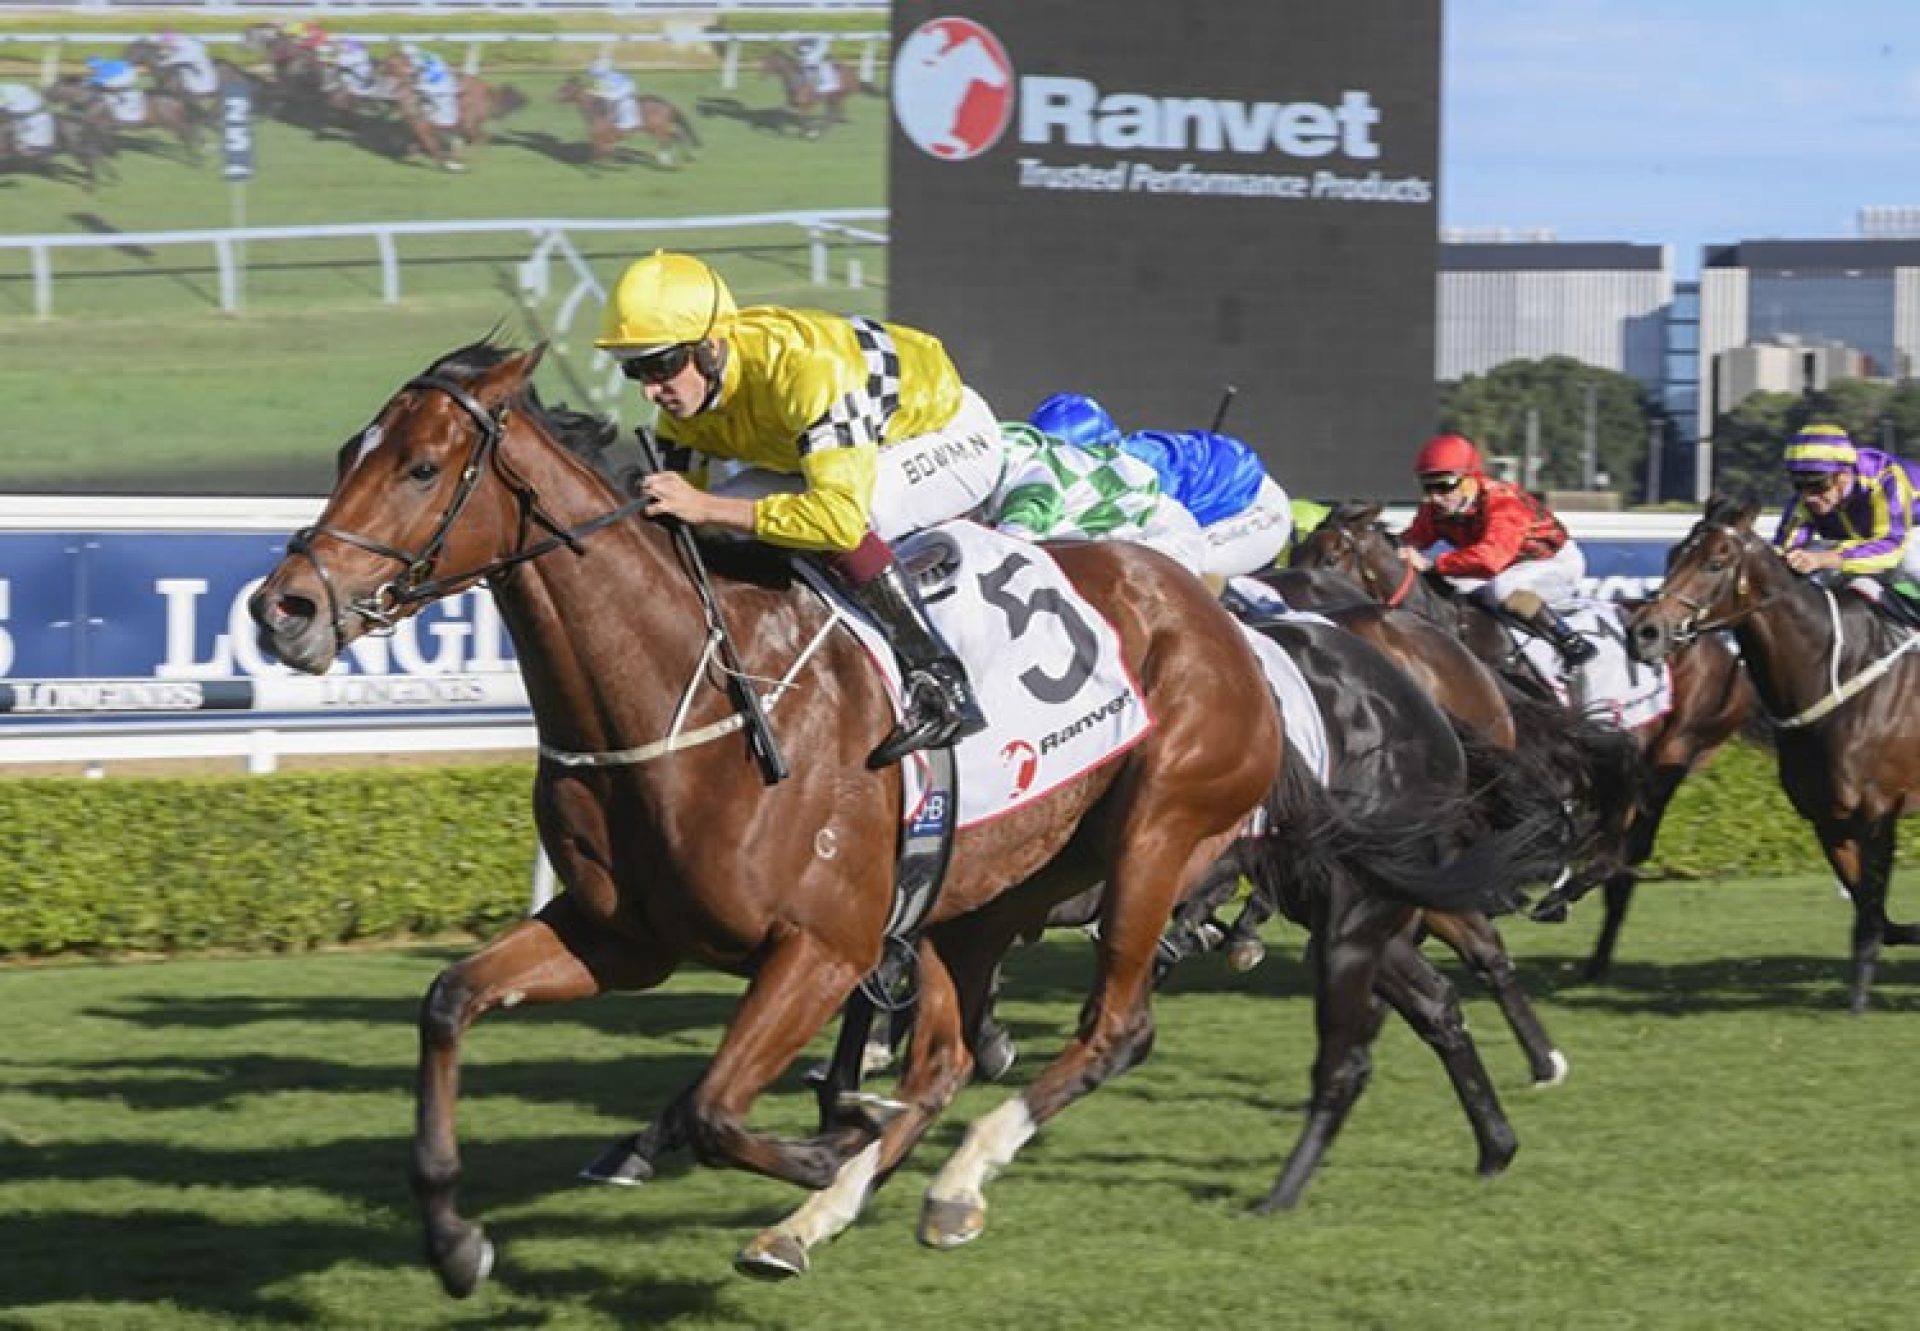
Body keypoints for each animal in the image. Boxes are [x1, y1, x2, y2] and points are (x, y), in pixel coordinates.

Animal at [556, 75, 698, 167]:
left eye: (566, 88)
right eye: (562, 87)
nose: (553, 97)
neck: (597, 109)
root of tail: (667, 103)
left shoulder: (603, 135)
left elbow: (601, 151)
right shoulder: (603, 137)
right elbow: (601, 151)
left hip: (655, 127)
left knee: (671, 138)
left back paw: (671, 159)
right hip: (658, 128)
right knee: (674, 136)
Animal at [1620, 495, 1920, 1006]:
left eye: (1716, 561)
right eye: (1674, 554)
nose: (1644, 633)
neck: (1838, 669)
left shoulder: (1879, 808)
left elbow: (1873, 908)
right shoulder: (1828, 817)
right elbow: (1873, 910)